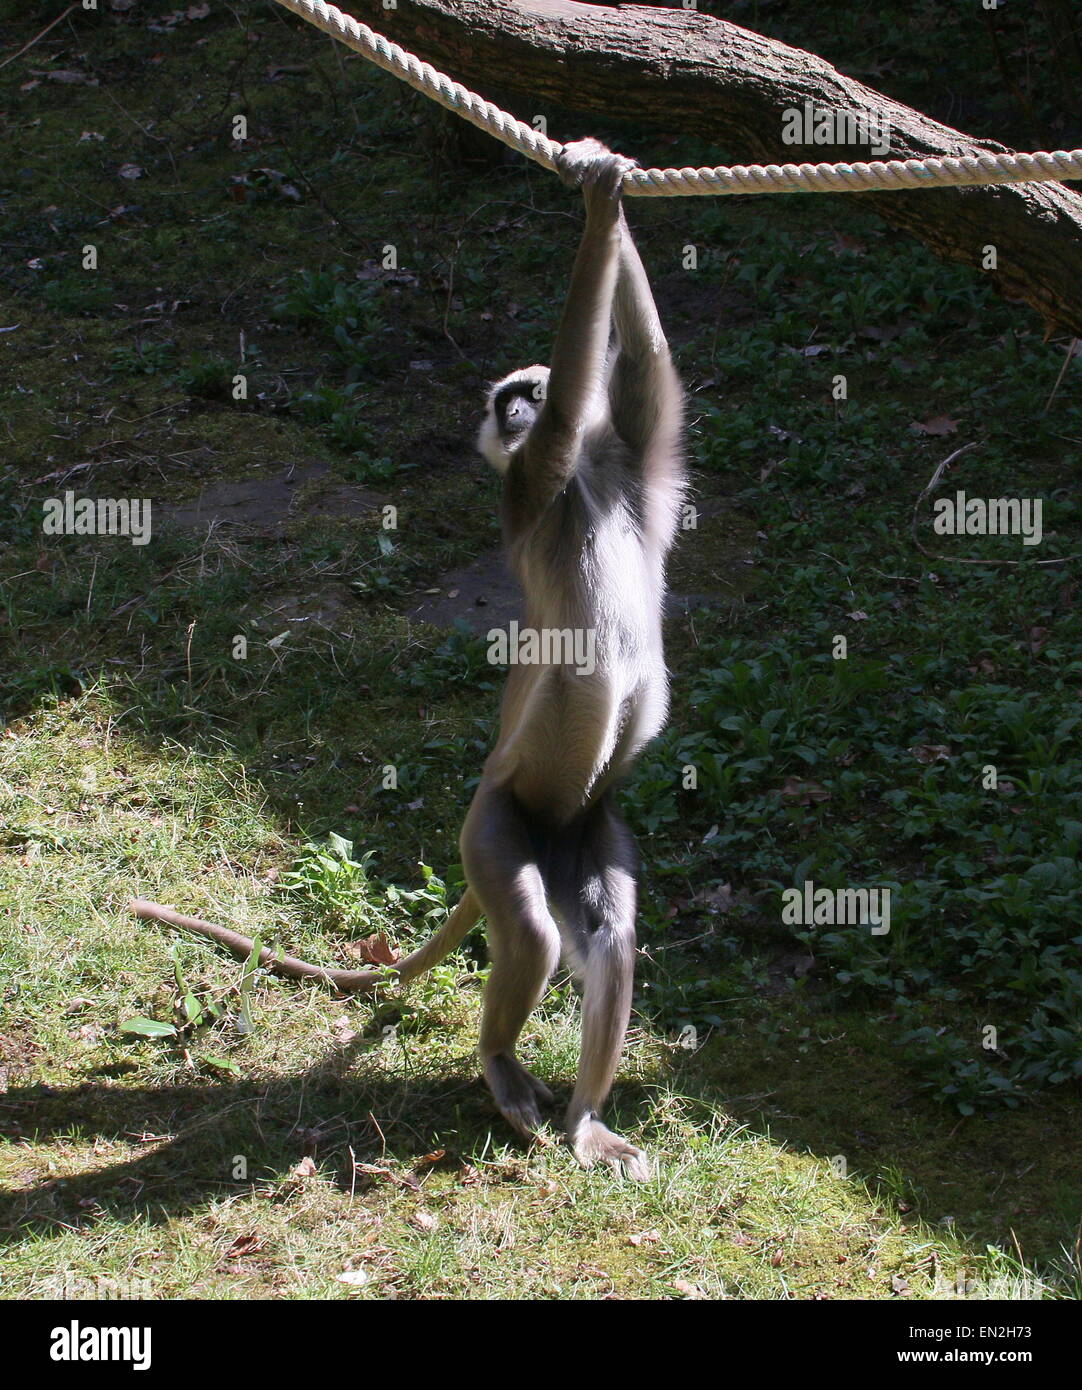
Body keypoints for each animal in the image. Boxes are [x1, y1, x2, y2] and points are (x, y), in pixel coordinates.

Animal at [128, 141, 684, 1178]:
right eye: (511, 400)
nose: (518, 405)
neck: (588, 483)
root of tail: (544, 815)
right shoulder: (535, 479)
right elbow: (590, 391)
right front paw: (598, 197)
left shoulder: (637, 462)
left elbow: (643, 373)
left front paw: (614, 184)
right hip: (496, 823)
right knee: (535, 932)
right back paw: (502, 1065)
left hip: (583, 826)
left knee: (609, 936)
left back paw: (585, 1116)